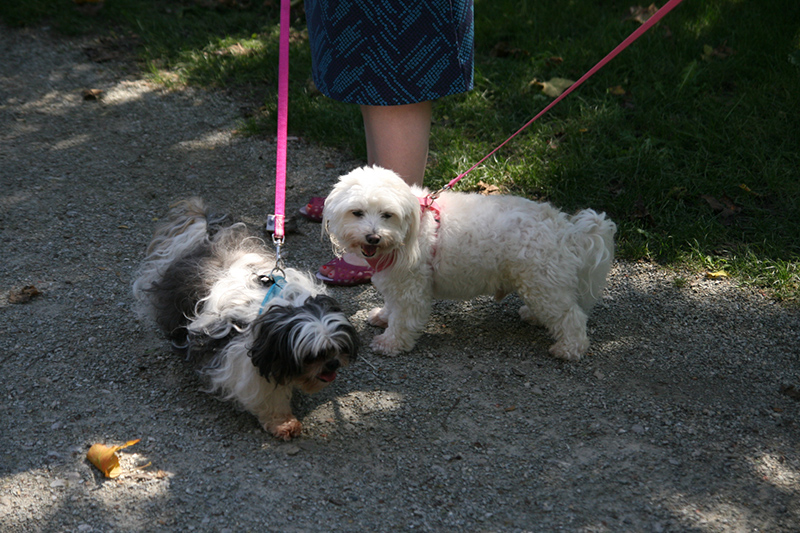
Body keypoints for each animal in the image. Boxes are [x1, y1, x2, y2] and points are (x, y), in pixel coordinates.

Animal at [322, 165, 616, 362]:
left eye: (387, 215)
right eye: (357, 213)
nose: (373, 237)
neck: (410, 229)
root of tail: (566, 230)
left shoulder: (411, 288)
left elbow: (403, 318)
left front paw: (390, 343)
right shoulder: (396, 282)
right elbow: (391, 307)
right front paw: (383, 317)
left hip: (542, 283)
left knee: (572, 316)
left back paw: (570, 349)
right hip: (540, 283)